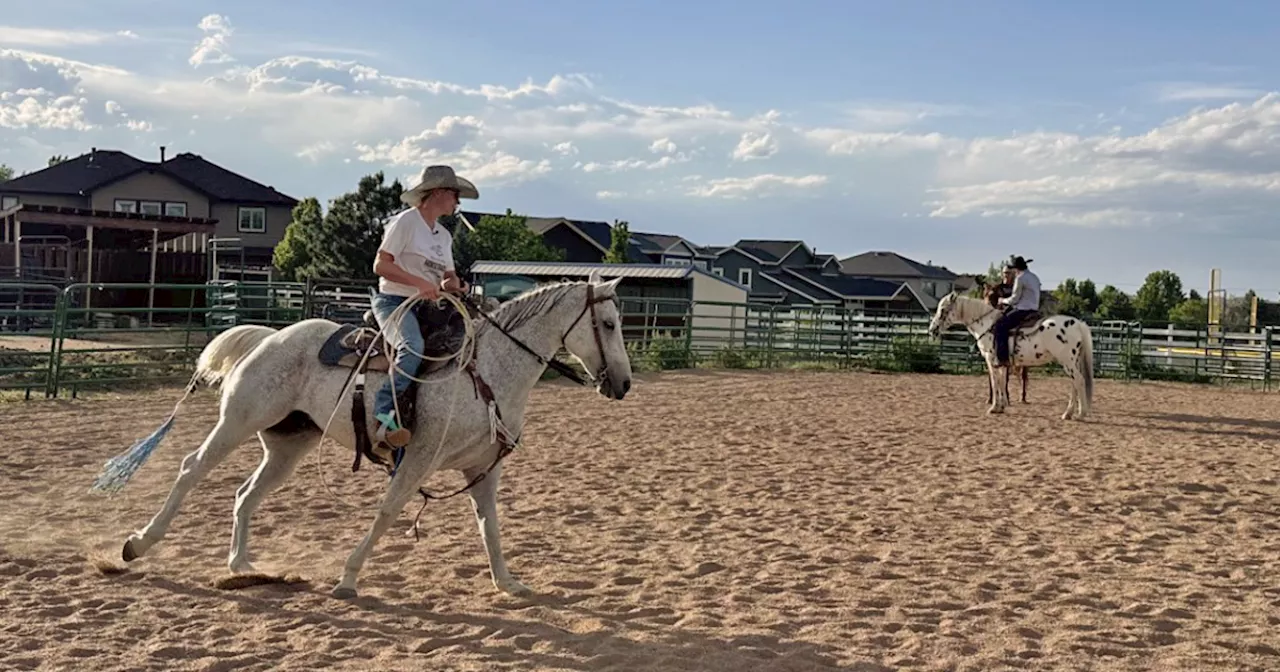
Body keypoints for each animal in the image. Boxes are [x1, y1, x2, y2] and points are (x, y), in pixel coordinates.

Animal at [92, 272, 632, 596]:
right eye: (607, 322)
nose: (624, 384)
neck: (486, 372)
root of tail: (271, 336)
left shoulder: (482, 469)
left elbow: (490, 527)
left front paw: (508, 583)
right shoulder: (418, 459)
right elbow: (388, 513)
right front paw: (349, 578)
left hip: (288, 445)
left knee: (246, 494)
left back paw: (240, 564)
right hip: (238, 421)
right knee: (191, 470)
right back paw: (137, 544)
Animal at [926, 282, 1095, 419]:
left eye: (943, 309)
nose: (932, 330)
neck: (988, 325)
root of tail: (1078, 323)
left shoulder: (991, 360)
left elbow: (995, 382)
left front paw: (994, 407)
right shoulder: (1002, 363)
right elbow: (1001, 382)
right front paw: (1001, 406)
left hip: (1067, 362)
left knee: (1079, 381)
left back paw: (1080, 414)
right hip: (1071, 362)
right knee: (1074, 384)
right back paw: (1068, 413)